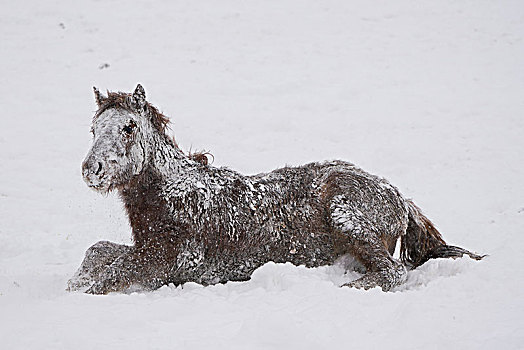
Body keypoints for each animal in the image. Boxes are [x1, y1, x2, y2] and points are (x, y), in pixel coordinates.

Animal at [67, 83, 486, 294]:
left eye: (128, 127)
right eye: (93, 129)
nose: (92, 169)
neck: (175, 196)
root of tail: (401, 199)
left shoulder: (167, 263)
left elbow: (109, 276)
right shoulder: (146, 251)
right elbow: (98, 253)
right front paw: (76, 279)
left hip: (345, 212)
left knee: (392, 273)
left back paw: (348, 287)